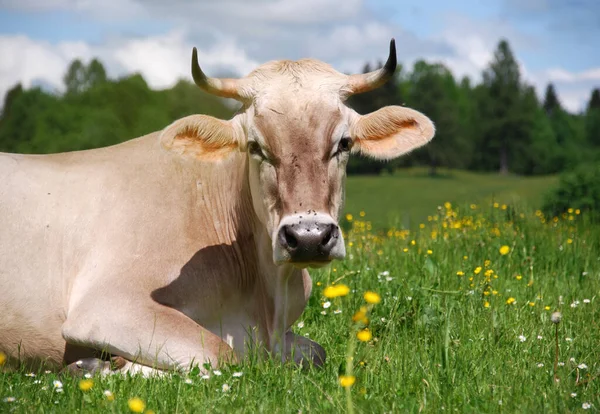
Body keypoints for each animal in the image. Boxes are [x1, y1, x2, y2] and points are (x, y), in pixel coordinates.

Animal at [0, 39, 434, 376]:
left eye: (343, 143)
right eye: (256, 146)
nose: (309, 237)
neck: (264, 297)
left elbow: (316, 352)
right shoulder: (107, 305)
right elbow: (220, 354)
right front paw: (97, 366)